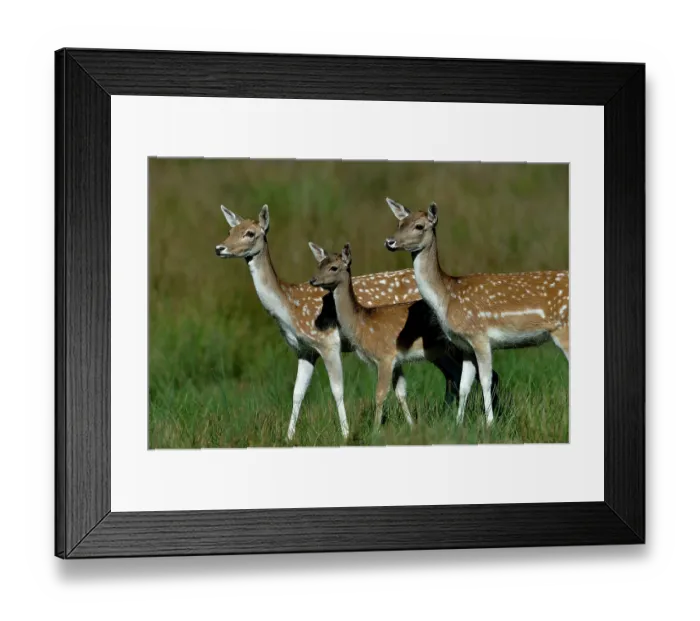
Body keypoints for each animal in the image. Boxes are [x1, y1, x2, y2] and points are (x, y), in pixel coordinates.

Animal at [214, 203, 467, 442]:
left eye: (249, 233)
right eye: (229, 230)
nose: (219, 248)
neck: (289, 307)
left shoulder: (327, 343)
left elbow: (337, 390)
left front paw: (345, 434)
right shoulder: (304, 350)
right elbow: (297, 393)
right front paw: (288, 437)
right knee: (453, 375)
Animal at [384, 197, 569, 429]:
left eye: (419, 226)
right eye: (399, 223)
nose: (389, 242)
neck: (447, 298)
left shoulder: (480, 336)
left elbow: (486, 380)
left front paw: (490, 423)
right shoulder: (465, 345)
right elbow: (464, 385)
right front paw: (458, 424)